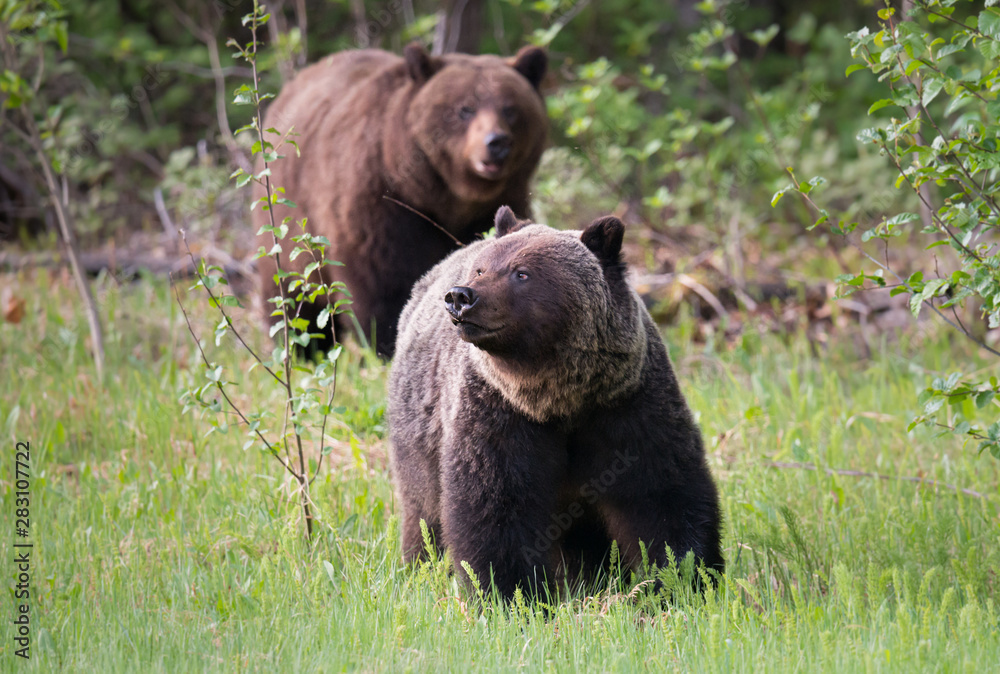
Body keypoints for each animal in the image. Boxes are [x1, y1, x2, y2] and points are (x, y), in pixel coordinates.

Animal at [252, 42, 548, 356]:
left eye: (511, 109)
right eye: (465, 109)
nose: (497, 143)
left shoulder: (497, 204)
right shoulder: (381, 204)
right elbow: (382, 282)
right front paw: (387, 341)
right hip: (285, 221)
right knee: (292, 298)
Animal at [386, 206, 724, 600]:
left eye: (521, 273)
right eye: (481, 269)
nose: (460, 296)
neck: (561, 399)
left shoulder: (628, 406)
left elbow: (663, 492)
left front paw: (685, 577)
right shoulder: (499, 413)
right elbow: (495, 506)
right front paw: (511, 591)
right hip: (419, 437)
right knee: (423, 510)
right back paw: (420, 565)